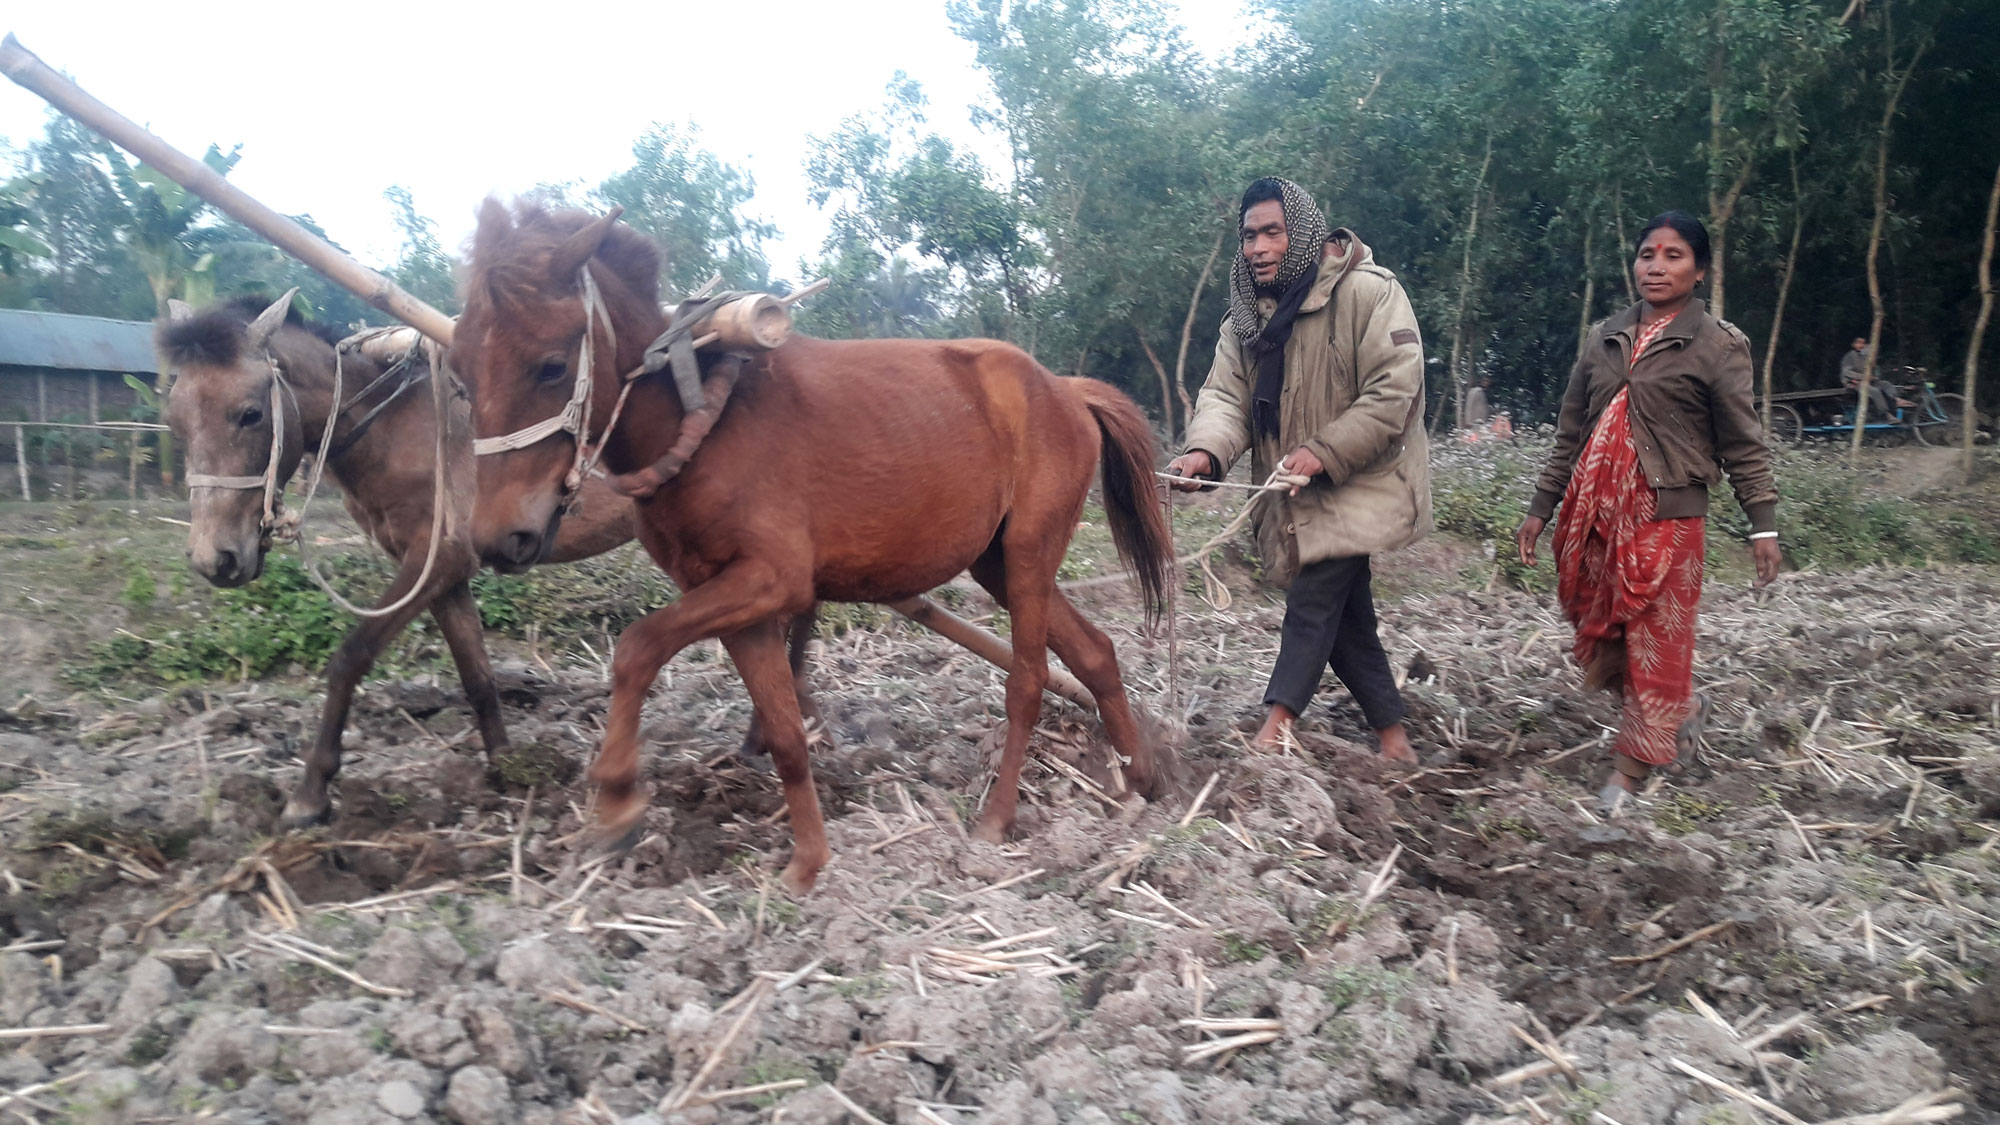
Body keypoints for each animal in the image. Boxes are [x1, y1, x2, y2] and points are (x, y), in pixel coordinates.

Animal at [163, 294, 632, 828]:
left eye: (250, 413)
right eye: (175, 423)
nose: (214, 558)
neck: (394, 428)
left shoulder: (437, 559)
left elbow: (350, 658)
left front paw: (311, 792)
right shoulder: (445, 575)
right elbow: (477, 677)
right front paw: (506, 767)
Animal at [454, 199, 1168, 884]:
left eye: (551, 365)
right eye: (460, 377)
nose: (498, 538)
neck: (698, 420)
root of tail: (1064, 388)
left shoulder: (772, 579)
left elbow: (636, 648)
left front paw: (616, 802)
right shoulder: (733, 598)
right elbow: (784, 733)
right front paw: (808, 862)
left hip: (1027, 556)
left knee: (1029, 679)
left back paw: (997, 817)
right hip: (998, 563)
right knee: (1096, 653)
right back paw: (1143, 781)